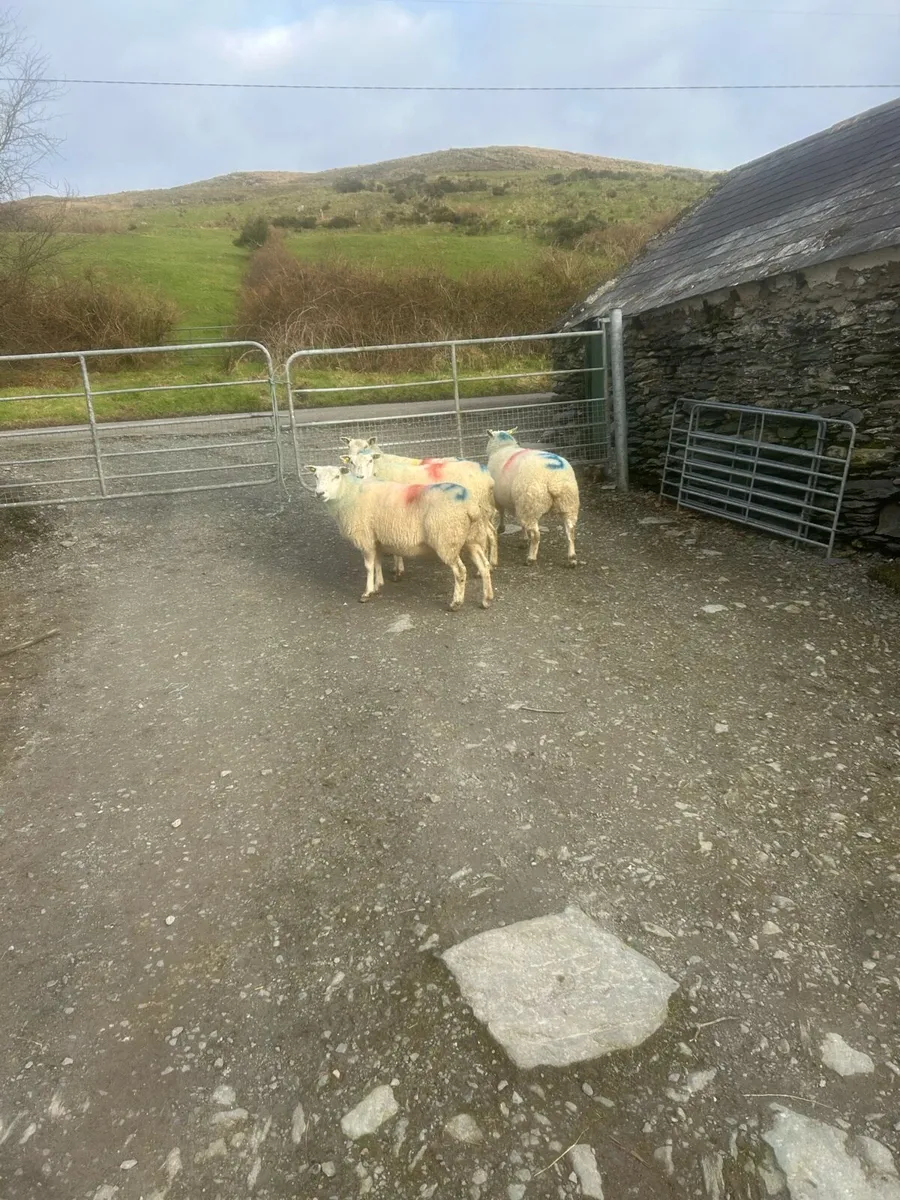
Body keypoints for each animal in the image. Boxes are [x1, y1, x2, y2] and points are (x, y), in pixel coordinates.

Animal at [307, 460, 494, 611]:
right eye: (315, 476)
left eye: (337, 476)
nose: (319, 493)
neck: (349, 494)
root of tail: (469, 505)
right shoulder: (376, 538)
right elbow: (377, 562)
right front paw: (378, 585)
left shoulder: (365, 537)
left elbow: (368, 566)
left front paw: (367, 593)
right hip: (471, 538)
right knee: (484, 566)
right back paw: (486, 599)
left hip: (447, 540)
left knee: (460, 571)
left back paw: (456, 603)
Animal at [342, 437, 499, 570]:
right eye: (349, 450)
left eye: (366, 448)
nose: (359, 477)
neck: (379, 469)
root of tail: (487, 475)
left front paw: (398, 569)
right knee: (491, 531)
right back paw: (491, 561)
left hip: (479, 511)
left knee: (487, 534)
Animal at [486, 428, 580, 567]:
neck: (504, 447)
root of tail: (554, 479)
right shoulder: (517, 503)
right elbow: (520, 523)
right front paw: (523, 539)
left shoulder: (498, 498)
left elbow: (502, 513)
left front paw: (501, 529)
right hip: (568, 503)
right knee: (571, 531)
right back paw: (572, 558)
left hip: (530, 504)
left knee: (536, 535)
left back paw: (531, 558)